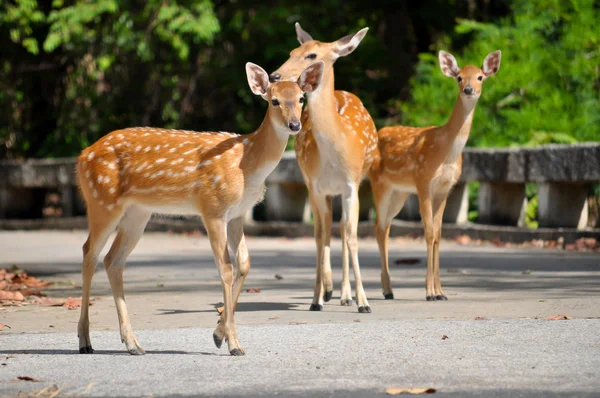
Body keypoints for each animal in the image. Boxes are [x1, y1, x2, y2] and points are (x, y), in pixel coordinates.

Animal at [77, 61, 326, 354]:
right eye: (274, 100)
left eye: (300, 98)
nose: (294, 124)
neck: (247, 165)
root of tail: (81, 156)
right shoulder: (213, 207)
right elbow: (225, 268)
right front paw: (233, 344)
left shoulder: (237, 213)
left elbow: (244, 264)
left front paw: (219, 334)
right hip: (102, 200)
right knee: (89, 252)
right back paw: (85, 341)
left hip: (137, 213)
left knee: (112, 260)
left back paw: (132, 343)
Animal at [270, 23, 378, 314]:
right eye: (292, 51)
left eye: (312, 55)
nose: (275, 75)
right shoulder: (316, 187)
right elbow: (319, 237)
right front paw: (316, 298)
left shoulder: (352, 184)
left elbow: (352, 237)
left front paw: (363, 302)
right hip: (318, 188)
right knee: (328, 228)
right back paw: (330, 291)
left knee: (341, 228)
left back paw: (346, 295)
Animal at [370, 49, 502, 300]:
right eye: (459, 77)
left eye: (480, 77)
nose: (468, 89)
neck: (446, 152)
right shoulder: (423, 183)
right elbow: (429, 233)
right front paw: (430, 292)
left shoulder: (445, 189)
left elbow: (439, 235)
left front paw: (441, 291)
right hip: (379, 184)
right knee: (379, 227)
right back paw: (385, 288)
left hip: (399, 192)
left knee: (386, 228)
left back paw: (388, 289)